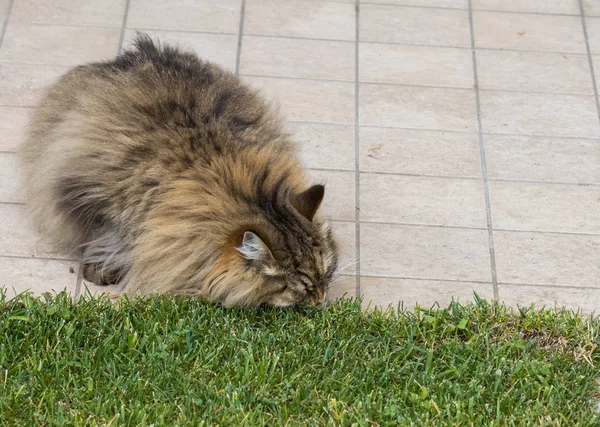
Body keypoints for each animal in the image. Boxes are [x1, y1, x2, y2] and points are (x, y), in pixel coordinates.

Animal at [19, 33, 338, 308]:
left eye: (326, 274)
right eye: (302, 289)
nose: (321, 300)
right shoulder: (99, 196)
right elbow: (110, 238)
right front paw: (105, 265)